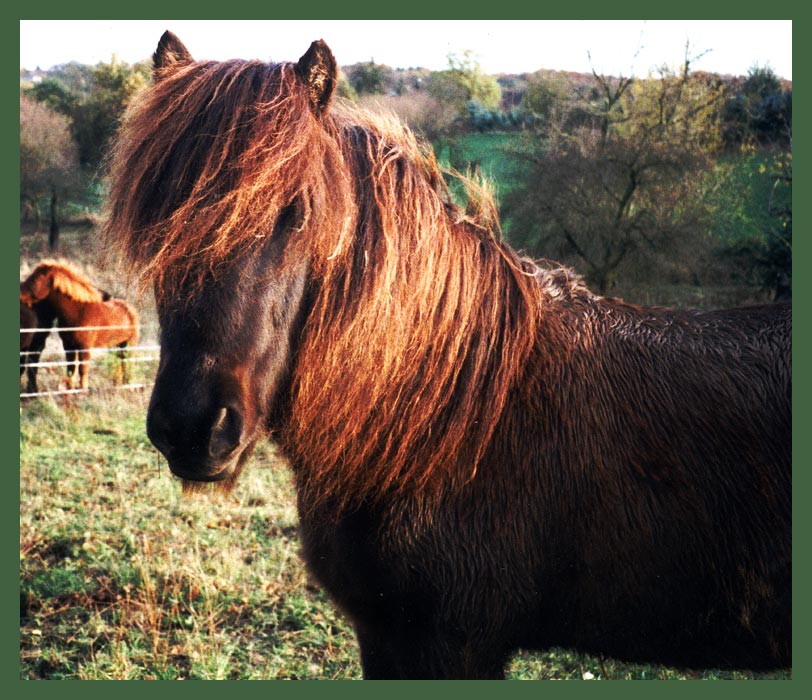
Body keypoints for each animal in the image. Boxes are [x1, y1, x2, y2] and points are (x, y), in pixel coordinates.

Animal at [19, 262, 140, 392]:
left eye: (35, 279)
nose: (20, 294)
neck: (78, 311)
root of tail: (130, 309)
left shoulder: (84, 347)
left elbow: (82, 369)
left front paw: (82, 390)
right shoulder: (68, 346)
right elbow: (71, 368)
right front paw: (70, 389)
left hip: (129, 344)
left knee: (126, 363)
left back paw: (128, 385)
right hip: (117, 344)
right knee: (119, 363)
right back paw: (118, 385)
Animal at [98, 32, 788, 680]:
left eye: (298, 213)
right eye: (153, 210)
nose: (194, 427)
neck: (449, 418)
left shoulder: (453, 645)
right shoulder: (383, 637)